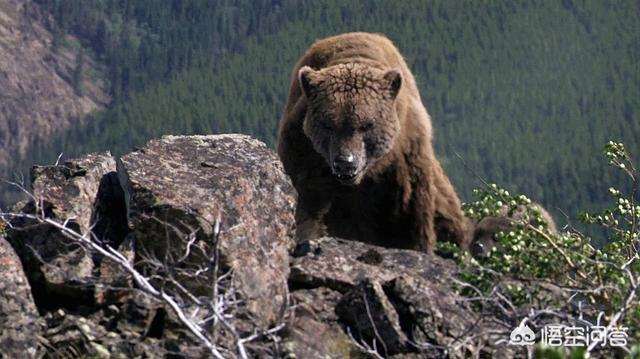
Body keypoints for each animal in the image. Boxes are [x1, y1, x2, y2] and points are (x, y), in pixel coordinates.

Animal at [276, 33, 470, 253]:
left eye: (366, 125)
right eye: (328, 124)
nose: (345, 163)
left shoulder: (404, 159)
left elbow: (412, 217)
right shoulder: (304, 151)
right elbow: (306, 203)